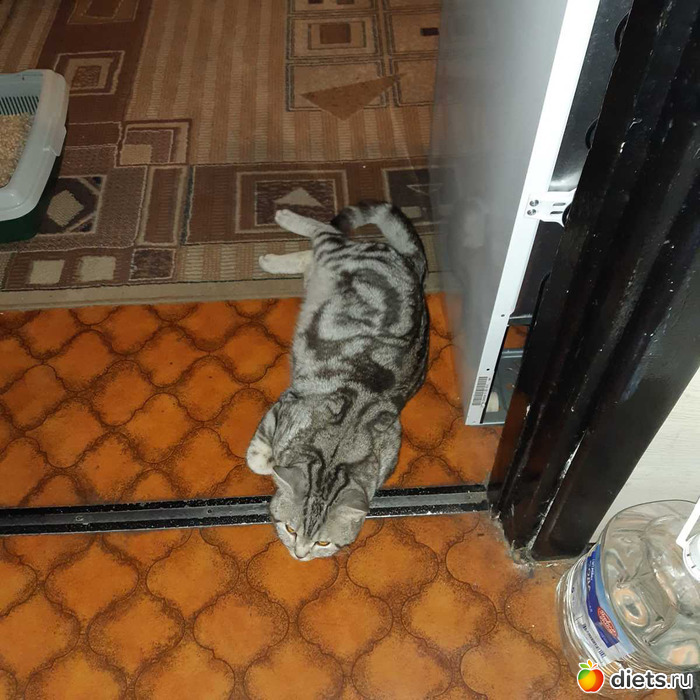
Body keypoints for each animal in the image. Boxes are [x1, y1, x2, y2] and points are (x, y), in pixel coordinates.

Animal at [246, 201, 429, 560]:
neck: (333, 455)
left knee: (314, 250)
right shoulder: (288, 403)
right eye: (290, 529)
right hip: (337, 250)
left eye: (322, 543)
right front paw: (268, 460)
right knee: (325, 230)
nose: (300, 555)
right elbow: (261, 460)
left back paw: (280, 261)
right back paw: (283, 225)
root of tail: (412, 267)